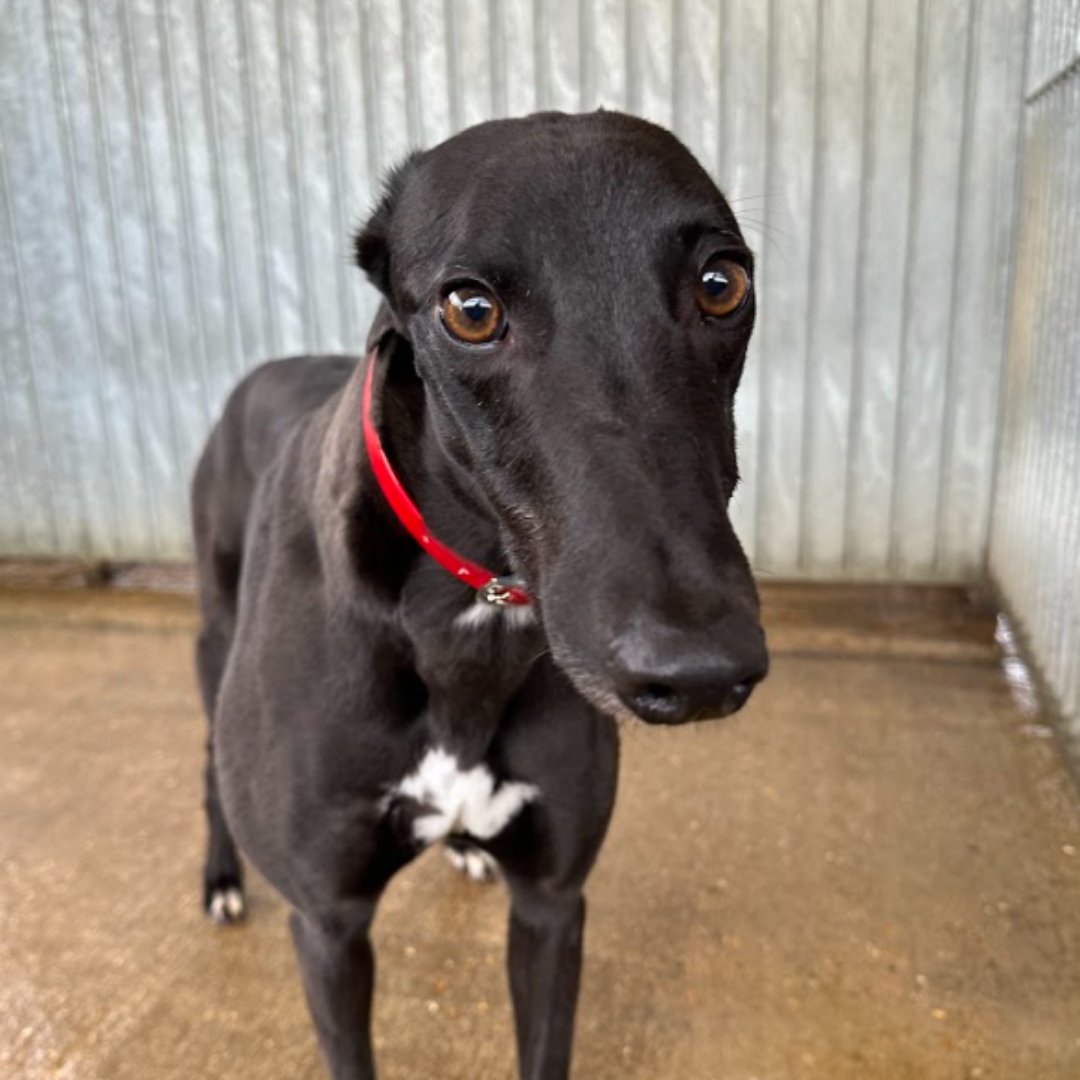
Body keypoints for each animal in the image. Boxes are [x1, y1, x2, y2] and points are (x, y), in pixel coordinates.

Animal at [194, 111, 768, 1080]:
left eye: (722, 284)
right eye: (471, 309)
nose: (697, 672)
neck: (467, 622)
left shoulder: (553, 901)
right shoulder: (329, 924)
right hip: (212, 639)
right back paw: (222, 881)